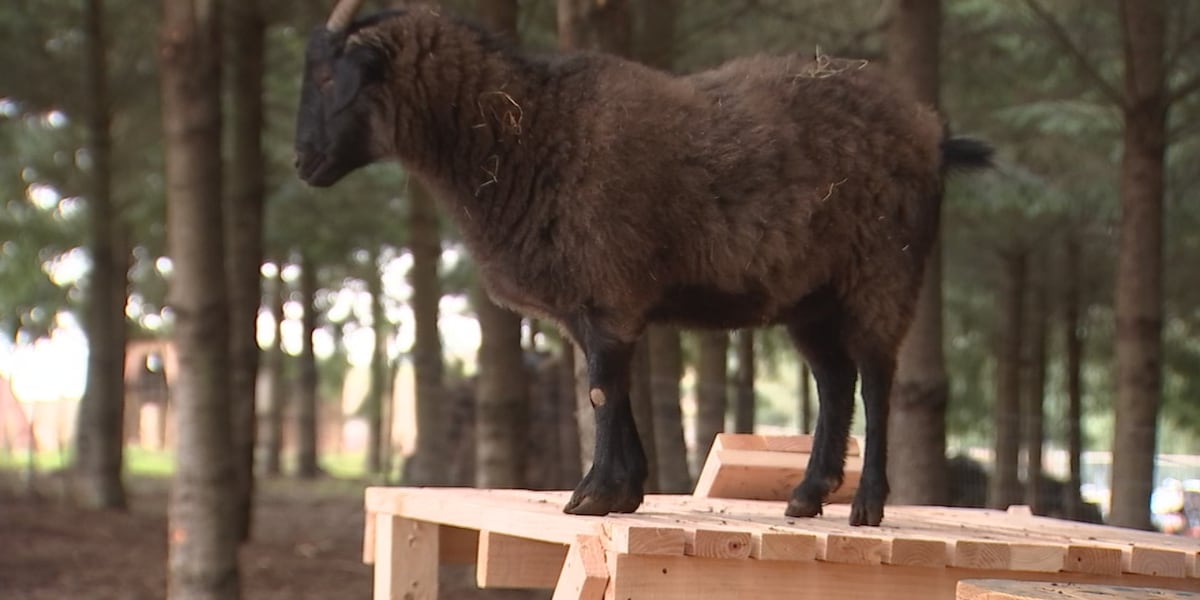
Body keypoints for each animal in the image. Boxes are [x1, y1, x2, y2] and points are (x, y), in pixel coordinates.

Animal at [294, 0, 992, 526]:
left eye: (330, 79)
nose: (303, 163)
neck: (526, 129)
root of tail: (934, 134)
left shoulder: (608, 289)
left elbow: (602, 389)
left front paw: (592, 495)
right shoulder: (595, 304)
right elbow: (609, 387)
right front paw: (624, 491)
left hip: (883, 273)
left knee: (876, 378)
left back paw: (867, 506)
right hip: (811, 297)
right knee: (835, 381)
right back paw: (806, 496)